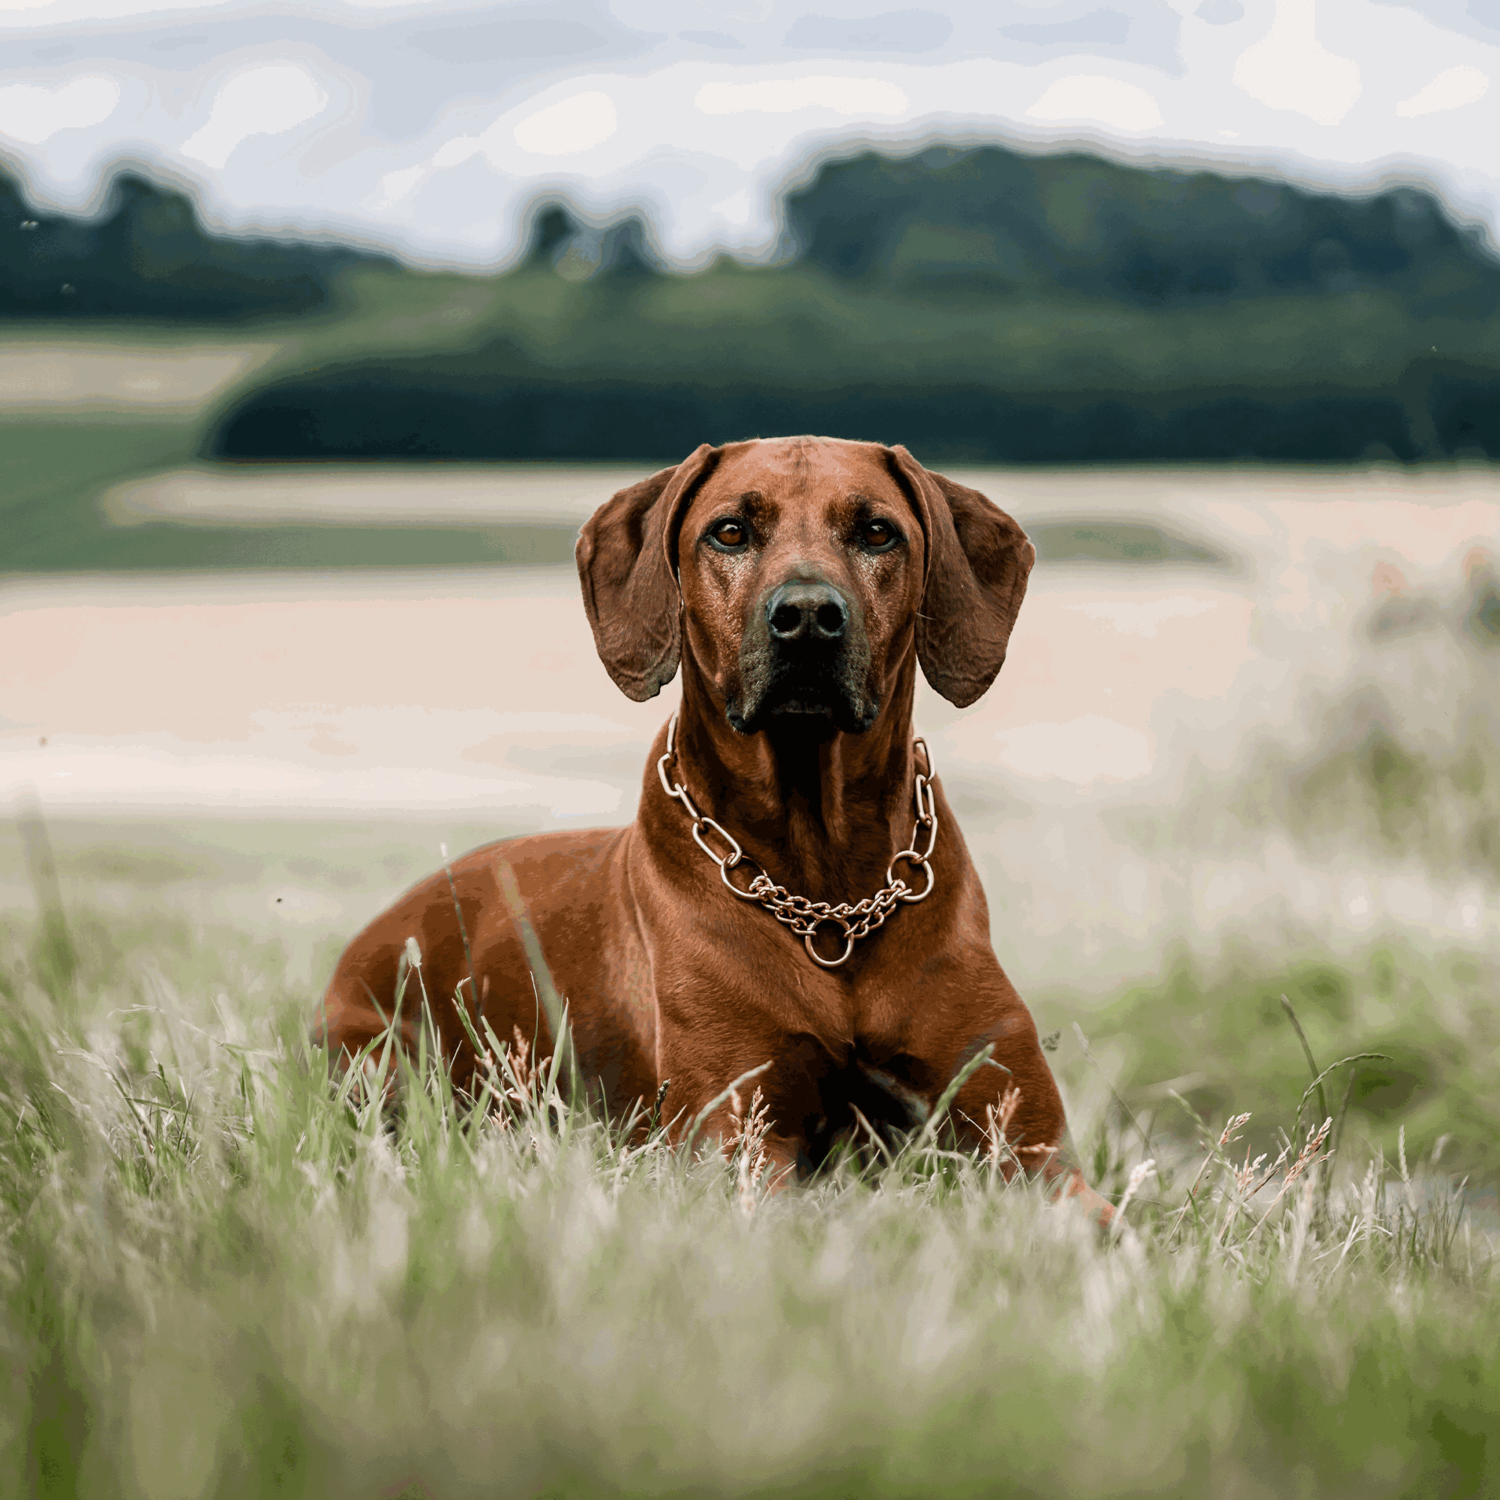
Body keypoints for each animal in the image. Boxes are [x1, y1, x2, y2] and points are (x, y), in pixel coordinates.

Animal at [313, 435, 1116, 1218]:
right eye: (730, 531)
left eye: (877, 532)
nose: (807, 616)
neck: (825, 887)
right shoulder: (734, 1142)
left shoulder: (1032, 1151)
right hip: (376, 1067)